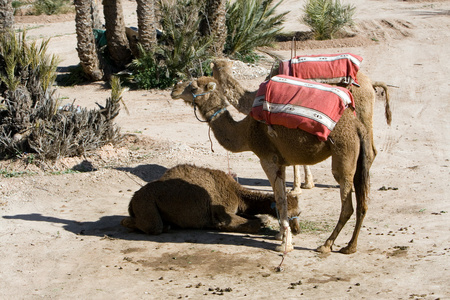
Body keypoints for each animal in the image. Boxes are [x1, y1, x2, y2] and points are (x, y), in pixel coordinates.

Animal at [121, 164, 300, 237]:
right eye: (294, 213)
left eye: (298, 212)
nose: (297, 229)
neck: (237, 193)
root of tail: (131, 201)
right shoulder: (221, 212)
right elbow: (253, 224)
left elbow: (259, 218)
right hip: (146, 204)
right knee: (152, 226)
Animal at [171, 77, 370, 253]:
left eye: (194, 87)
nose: (174, 90)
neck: (245, 133)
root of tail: (358, 127)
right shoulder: (280, 162)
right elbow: (280, 198)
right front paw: (281, 235)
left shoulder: (267, 158)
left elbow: (280, 200)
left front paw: (284, 244)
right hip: (359, 157)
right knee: (363, 202)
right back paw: (349, 247)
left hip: (343, 152)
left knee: (347, 203)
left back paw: (327, 245)